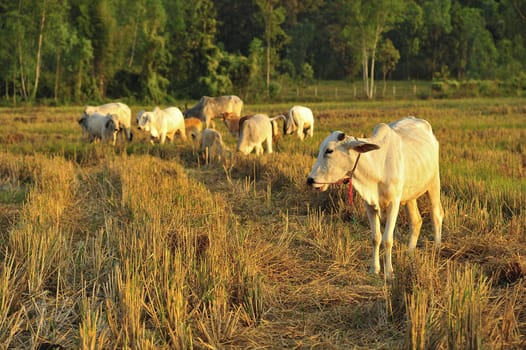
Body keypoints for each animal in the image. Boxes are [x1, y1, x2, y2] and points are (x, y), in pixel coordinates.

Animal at [308, 117, 448, 278]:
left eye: (329, 150)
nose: (310, 180)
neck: (377, 165)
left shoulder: (394, 203)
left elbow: (387, 239)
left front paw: (389, 273)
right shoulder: (369, 204)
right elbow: (375, 238)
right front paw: (374, 269)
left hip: (434, 183)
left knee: (437, 215)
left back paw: (436, 249)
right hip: (410, 195)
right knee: (416, 221)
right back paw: (409, 253)